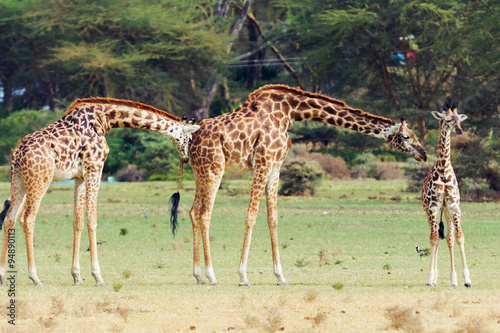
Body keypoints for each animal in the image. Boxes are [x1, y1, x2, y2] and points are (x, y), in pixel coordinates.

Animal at [0, 96, 199, 286]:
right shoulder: (95, 168)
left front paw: (77, 277)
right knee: (27, 219)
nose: (186, 158)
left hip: (18, 180)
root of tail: (17, 152)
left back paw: (3, 276)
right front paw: (98, 277)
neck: (104, 120)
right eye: (189, 139)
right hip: (40, 180)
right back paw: (35, 278)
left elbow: (78, 222)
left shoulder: (79, 177)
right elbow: (92, 220)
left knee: (9, 219)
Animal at [174, 83, 428, 286]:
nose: (423, 154)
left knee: (194, 211)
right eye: (406, 136)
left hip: (200, 171)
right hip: (214, 168)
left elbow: (273, 218)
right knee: (205, 213)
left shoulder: (276, 165)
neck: (291, 112)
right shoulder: (264, 161)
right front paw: (243, 276)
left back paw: (198, 275)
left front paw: (280, 277)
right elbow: (251, 215)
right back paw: (212, 276)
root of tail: (191, 141)